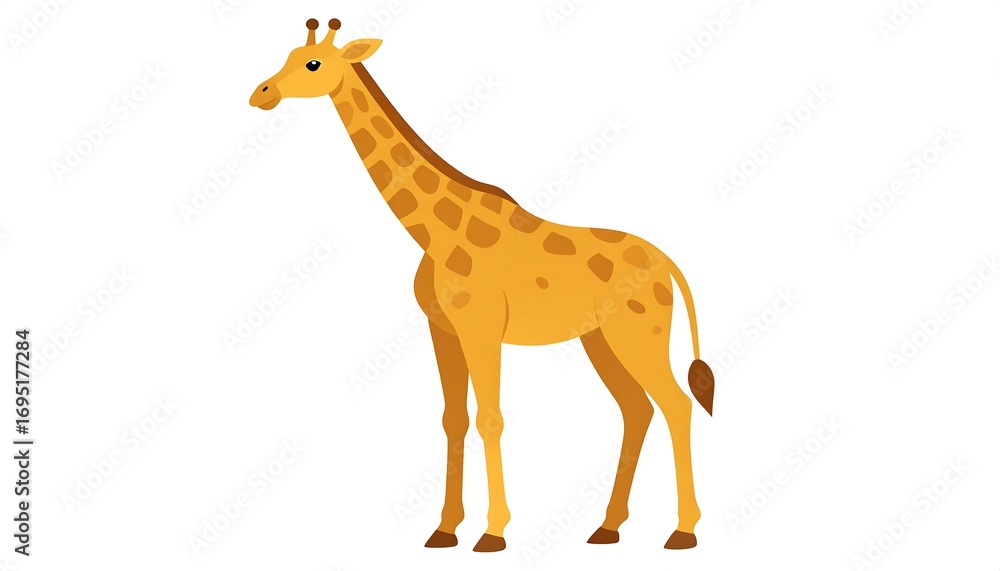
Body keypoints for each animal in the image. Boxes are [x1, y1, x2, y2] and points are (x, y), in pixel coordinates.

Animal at [249, 18, 716, 552]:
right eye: (287, 56)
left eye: (312, 63)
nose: (261, 94)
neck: (433, 231)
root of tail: (669, 266)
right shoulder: (442, 329)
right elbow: (453, 418)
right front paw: (444, 529)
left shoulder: (482, 327)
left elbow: (490, 417)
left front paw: (493, 533)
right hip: (600, 339)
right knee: (637, 410)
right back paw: (607, 527)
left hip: (640, 334)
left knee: (677, 405)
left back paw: (683, 531)